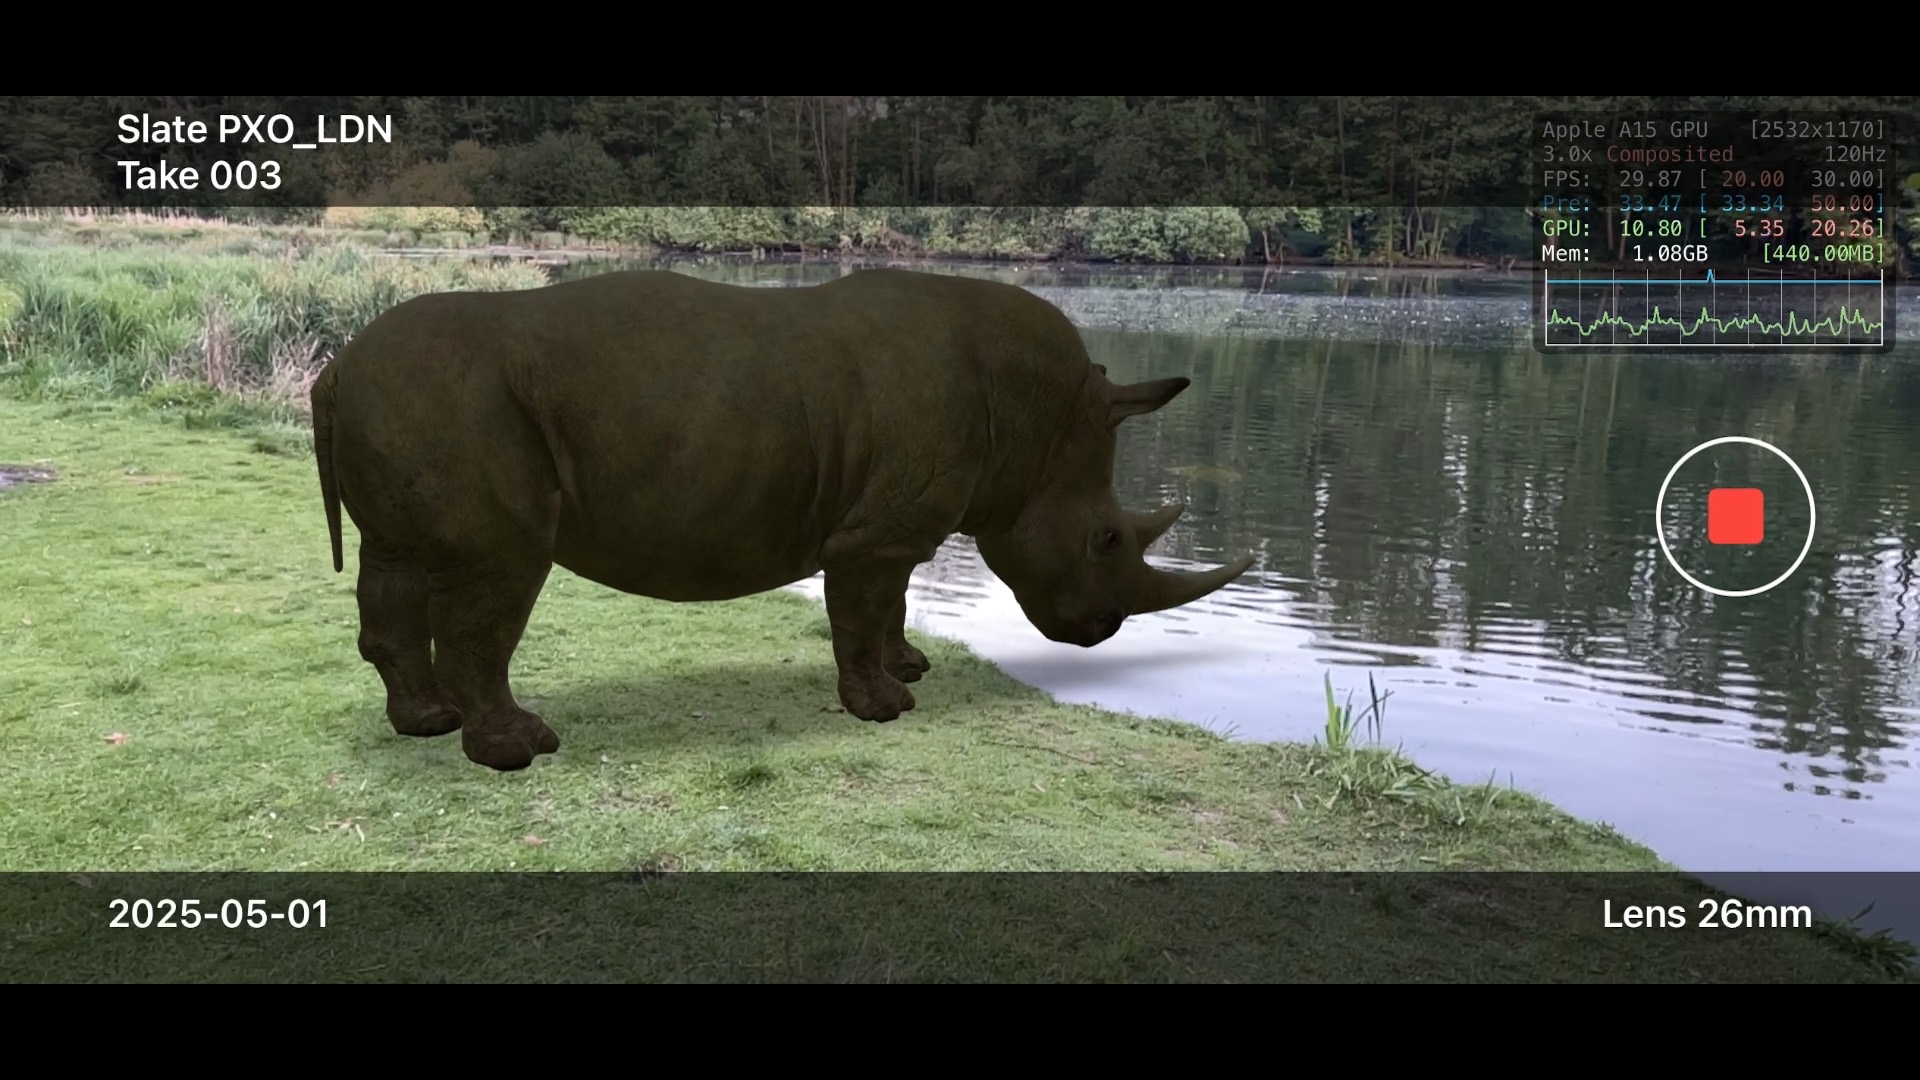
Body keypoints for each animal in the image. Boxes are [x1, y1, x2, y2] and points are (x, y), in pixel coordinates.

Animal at [310, 268, 1255, 771]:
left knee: (393, 563)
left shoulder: (894, 526)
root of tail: (335, 367)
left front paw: (909, 671)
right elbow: (864, 607)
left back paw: (425, 725)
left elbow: (892, 603)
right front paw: (885, 709)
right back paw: (522, 751)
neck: (1044, 424)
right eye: (1105, 538)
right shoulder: (876, 531)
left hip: (408, 403)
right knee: (499, 572)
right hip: (452, 404)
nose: (1101, 631)